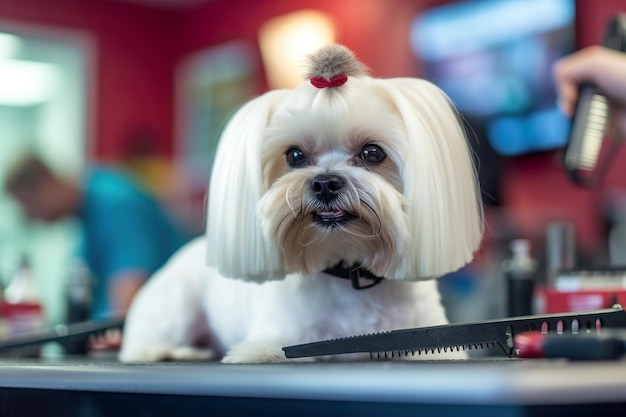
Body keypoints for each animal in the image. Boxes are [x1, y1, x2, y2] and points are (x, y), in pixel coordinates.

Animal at [120, 45, 482, 362]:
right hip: (175, 307)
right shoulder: (273, 341)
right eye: (294, 155)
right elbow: (271, 351)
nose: (324, 183)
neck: (346, 267)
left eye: (372, 152)